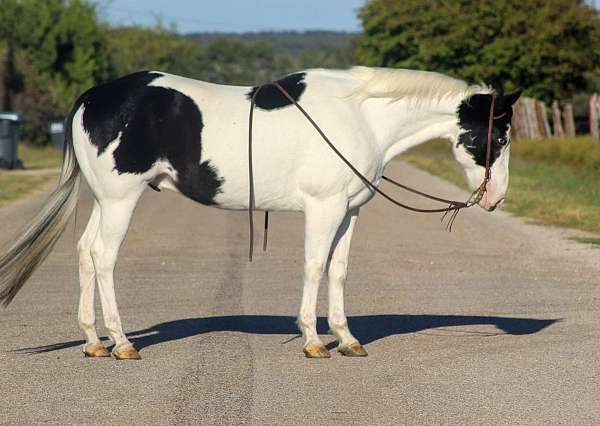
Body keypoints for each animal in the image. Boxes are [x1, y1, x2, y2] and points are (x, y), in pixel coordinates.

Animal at [0, 67, 520, 360]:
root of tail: (92, 98)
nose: (495, 197)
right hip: (121, 200)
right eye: (499, 135)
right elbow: (314, 266)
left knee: (85, 253)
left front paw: (346, 338)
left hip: (105, 201)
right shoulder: (324, 206)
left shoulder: (350, 211)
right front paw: (313, 340)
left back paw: (93, 341)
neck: (362, 118)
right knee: (104, 258)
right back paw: (122, 342)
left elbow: (338, 270)